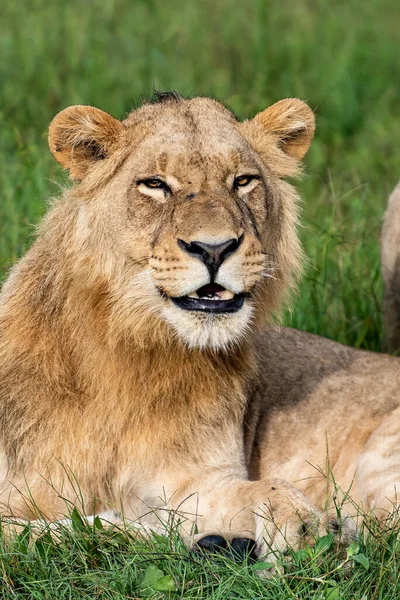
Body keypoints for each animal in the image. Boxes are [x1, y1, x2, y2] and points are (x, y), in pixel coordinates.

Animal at [0, 92, 350, 556]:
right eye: (155, 185)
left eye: (243, 181)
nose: (214, 248)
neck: (132, 348)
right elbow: (67, 532)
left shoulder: (198, 477)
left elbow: (263, 489)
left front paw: (307, 527)